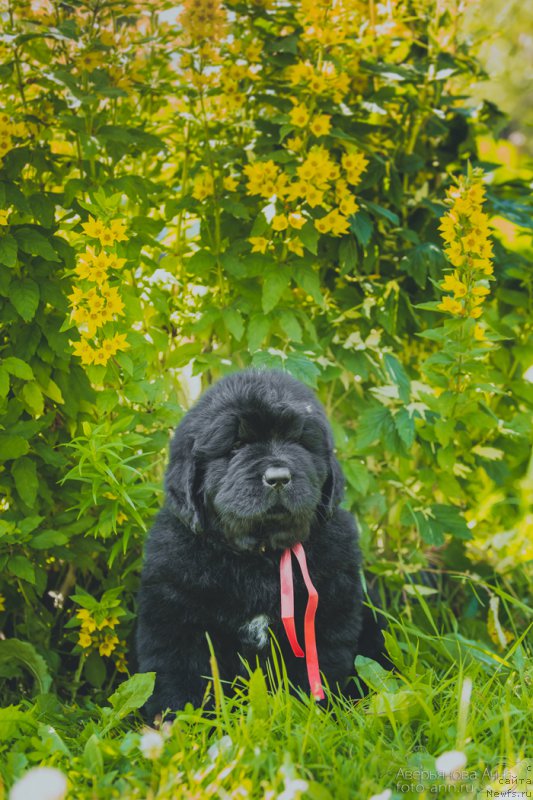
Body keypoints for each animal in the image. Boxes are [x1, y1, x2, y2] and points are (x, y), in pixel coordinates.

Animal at [136, 370, 386, 720]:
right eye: (237, 444)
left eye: (298, 442)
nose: (279, 477)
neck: (259, 558)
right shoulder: (176, 618)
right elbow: (180, 681)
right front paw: (182, 724)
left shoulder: (325, 618)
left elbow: (310, 676)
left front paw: (308, 719)